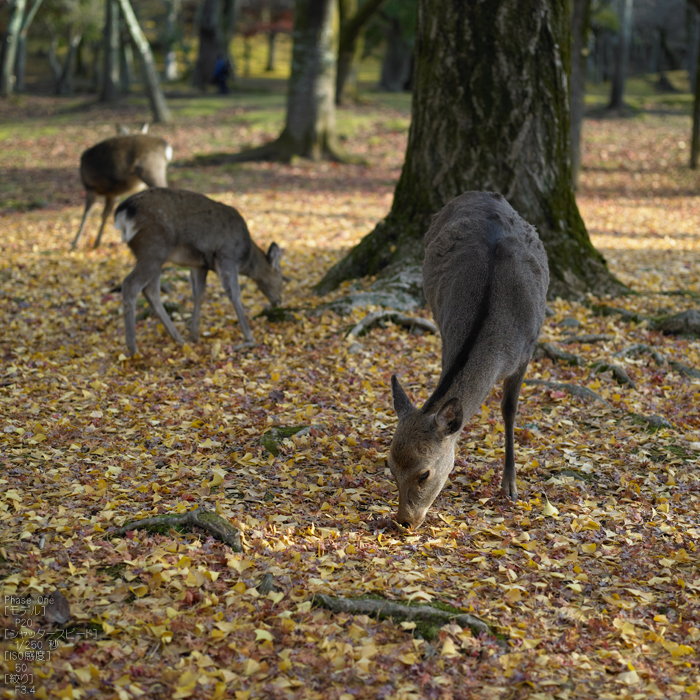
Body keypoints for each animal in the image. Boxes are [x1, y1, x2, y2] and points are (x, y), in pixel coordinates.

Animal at [113, 187, 284, 356]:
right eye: (282, 276)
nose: (279, 301)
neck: (245, 257)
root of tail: (123, 212)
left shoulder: (199, 265)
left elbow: (199, 293)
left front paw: (194, 334)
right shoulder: (227, 257)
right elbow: (234, 294)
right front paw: (249, 338)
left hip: (155, 256)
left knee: (151, 291)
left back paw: (178, 338)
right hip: (153, 249)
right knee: (130, 284)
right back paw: (133, 349)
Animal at [388, 191, 548, 532]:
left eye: (424, 473)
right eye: (391, 467)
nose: (404, 521)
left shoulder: (527, 350)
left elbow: (509, 410)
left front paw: (510, 485)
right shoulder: (447, 336)